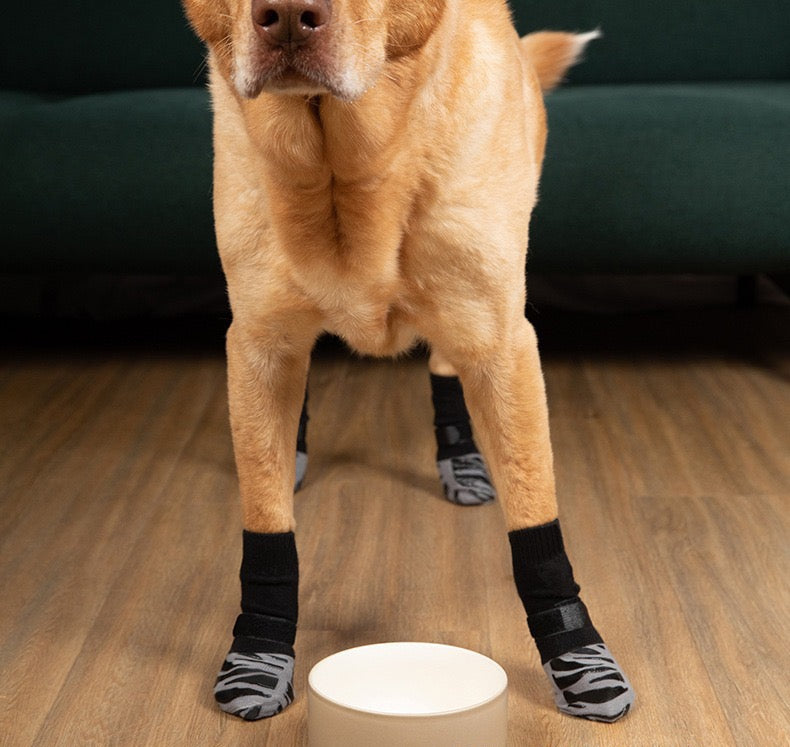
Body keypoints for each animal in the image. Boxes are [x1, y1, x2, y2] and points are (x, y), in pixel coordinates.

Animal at [183, 0, 636, 724]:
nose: (288, 15)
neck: (349, 170)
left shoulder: (501, 339)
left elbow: (535, 516)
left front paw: (578, 653)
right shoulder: (258, 341)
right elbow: (266, 521)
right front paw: (259, 651)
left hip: (466, 311)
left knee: (446, 366)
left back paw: (462, 457)